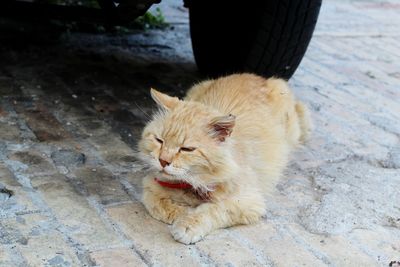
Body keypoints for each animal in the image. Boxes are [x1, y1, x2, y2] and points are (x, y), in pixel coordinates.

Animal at [139, 74, 310, 245]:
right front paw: (179, 212)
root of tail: (259, 77)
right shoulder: (150, 183)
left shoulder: (249, 201)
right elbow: (154, 202)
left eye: (187, 149)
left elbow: (212, 210)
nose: (163, 161)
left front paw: (187, 224)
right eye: (159, 140)